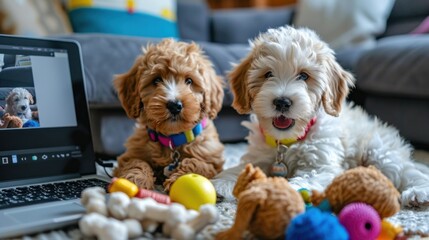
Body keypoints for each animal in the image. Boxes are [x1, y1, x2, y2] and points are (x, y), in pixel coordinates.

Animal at [112, 39, 226, 191]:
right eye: (156, 80)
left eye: (189, 81)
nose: (174, 105)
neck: (172, 139)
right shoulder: (131, 153)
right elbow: (137, 162)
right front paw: (135, 180)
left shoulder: (212, 161)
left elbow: (196, 163)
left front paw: (179, 179)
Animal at [212, 25, 428, 206]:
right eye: (268, 74)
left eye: (304, 76)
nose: (282, 102)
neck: (288, 141)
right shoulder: (260, 157)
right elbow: (241, 168)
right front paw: (221, 184)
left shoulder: (321, 163)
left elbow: (308, 177)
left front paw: (287, 190)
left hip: (379, 151)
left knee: (407, 172)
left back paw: (417, 192)